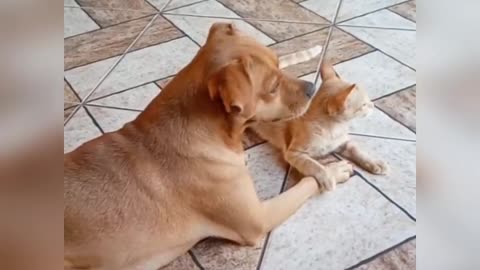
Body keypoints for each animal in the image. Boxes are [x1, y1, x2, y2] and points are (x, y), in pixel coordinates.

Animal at [63, 23, 318, 270]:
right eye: (273, 88)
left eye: (279, 63)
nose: (312, 88)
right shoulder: (258, 220)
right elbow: (304, 186)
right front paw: (324, 173)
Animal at [253, 63, 388, 190]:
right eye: (363, 105)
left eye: (368, 101)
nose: (373, 105)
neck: (333, 129)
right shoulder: (293, 153)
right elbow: (313, 165)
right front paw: (328, 176)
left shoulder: (343, 143)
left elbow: (357, 150)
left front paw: (374, 162)